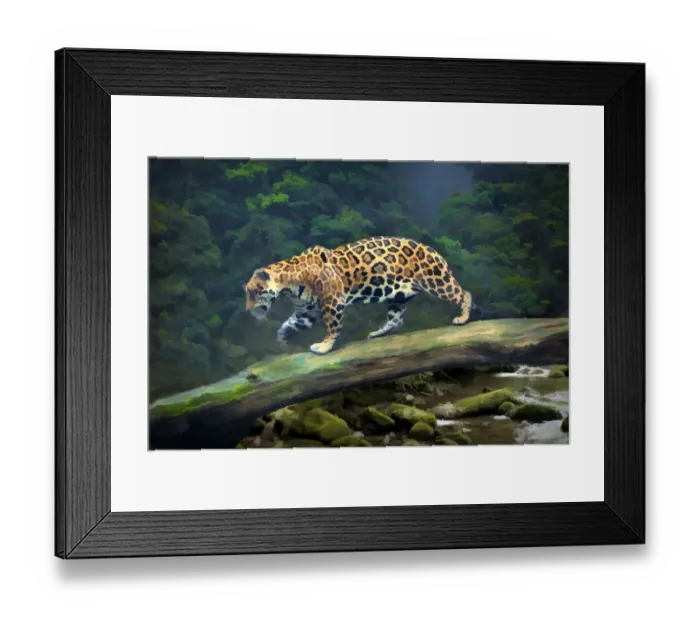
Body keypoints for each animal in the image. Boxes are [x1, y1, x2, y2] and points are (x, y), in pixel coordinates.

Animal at [244, 236, 473, 355]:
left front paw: (324, 346)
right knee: (396, 319)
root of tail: (432, 249)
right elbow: (289, 324)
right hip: (398, 296)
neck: (289, 285)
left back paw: (462, 318)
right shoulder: (305, 312)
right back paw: (378, 333)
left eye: (254, 293)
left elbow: (331, 326)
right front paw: (282, 340)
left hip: (436, 281)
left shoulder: (333, 301)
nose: (247, 310)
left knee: (464, 293)